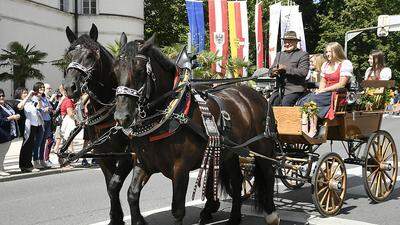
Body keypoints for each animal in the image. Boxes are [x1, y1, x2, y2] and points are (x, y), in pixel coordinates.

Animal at [62, 24, 131, 225]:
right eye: (68, 54)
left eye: (91, 55)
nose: (70, 87)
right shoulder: (102, 154)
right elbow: (110, 186)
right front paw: (115, 217)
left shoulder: (128, 154)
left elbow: (114, 185)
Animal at [112, 33, 280, 225]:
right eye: (115, 69)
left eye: (140, 70)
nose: (121, 117)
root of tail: (258, 95)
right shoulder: (143, 163)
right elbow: (132, 195)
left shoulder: (180, 169)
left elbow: (177, 209)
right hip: (231, 152)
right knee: (237, 181)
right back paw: (234, 218)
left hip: (263, 146)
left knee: (268, 173)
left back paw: (272, 214)